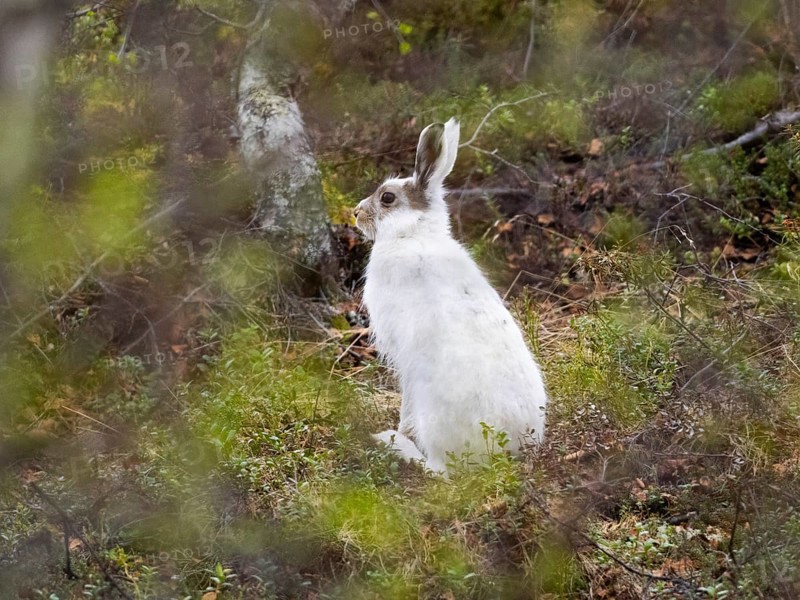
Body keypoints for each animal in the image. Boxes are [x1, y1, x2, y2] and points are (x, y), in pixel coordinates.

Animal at [353, 118, 547, 474]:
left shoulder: (403, 355)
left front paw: (401, 429)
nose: (355, 213)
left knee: (439, 471)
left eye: (387, 198)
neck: (412, 233)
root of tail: (503, 450)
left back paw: (394, 442)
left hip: (435, 419)